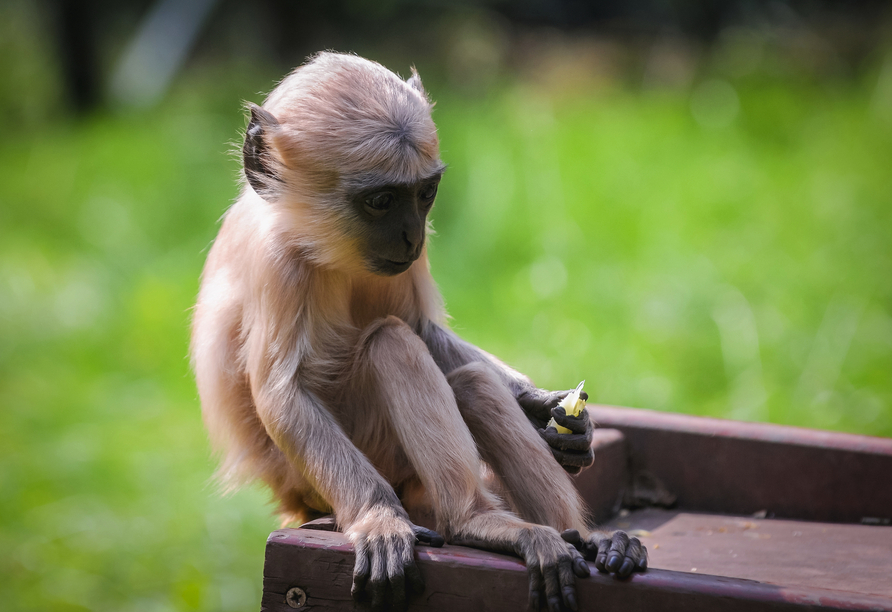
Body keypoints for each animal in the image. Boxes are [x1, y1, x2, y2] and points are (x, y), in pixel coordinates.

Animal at [190, 53, 648, 612]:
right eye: (382, 201)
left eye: (423, 195)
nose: (410, 235)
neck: (324, 247)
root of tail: (291, 497)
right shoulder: (279, 261)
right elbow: (283, 394)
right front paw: (379, 520)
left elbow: (425, 331)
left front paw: (550, 412)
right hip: (335, 468)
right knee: (391, 343)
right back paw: (475, 522)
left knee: (468, 381)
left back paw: (578, 536)